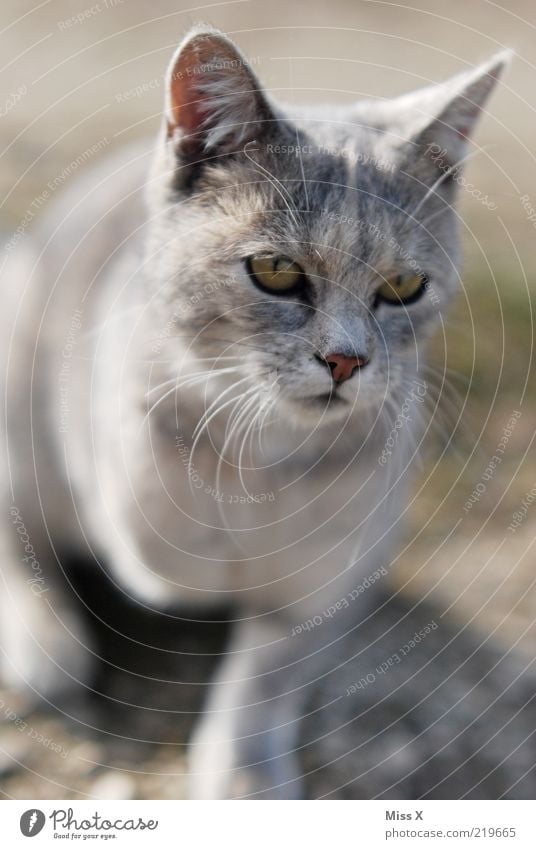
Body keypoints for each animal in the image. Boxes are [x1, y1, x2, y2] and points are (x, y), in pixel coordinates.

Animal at [0, 24, 508, 796]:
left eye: (403, 286)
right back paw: (46, 643)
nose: (346, 360)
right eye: (275, 272)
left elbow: (265, 678)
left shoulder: (330, 583)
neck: (269, 455)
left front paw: (241, 780)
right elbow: (157, 532)